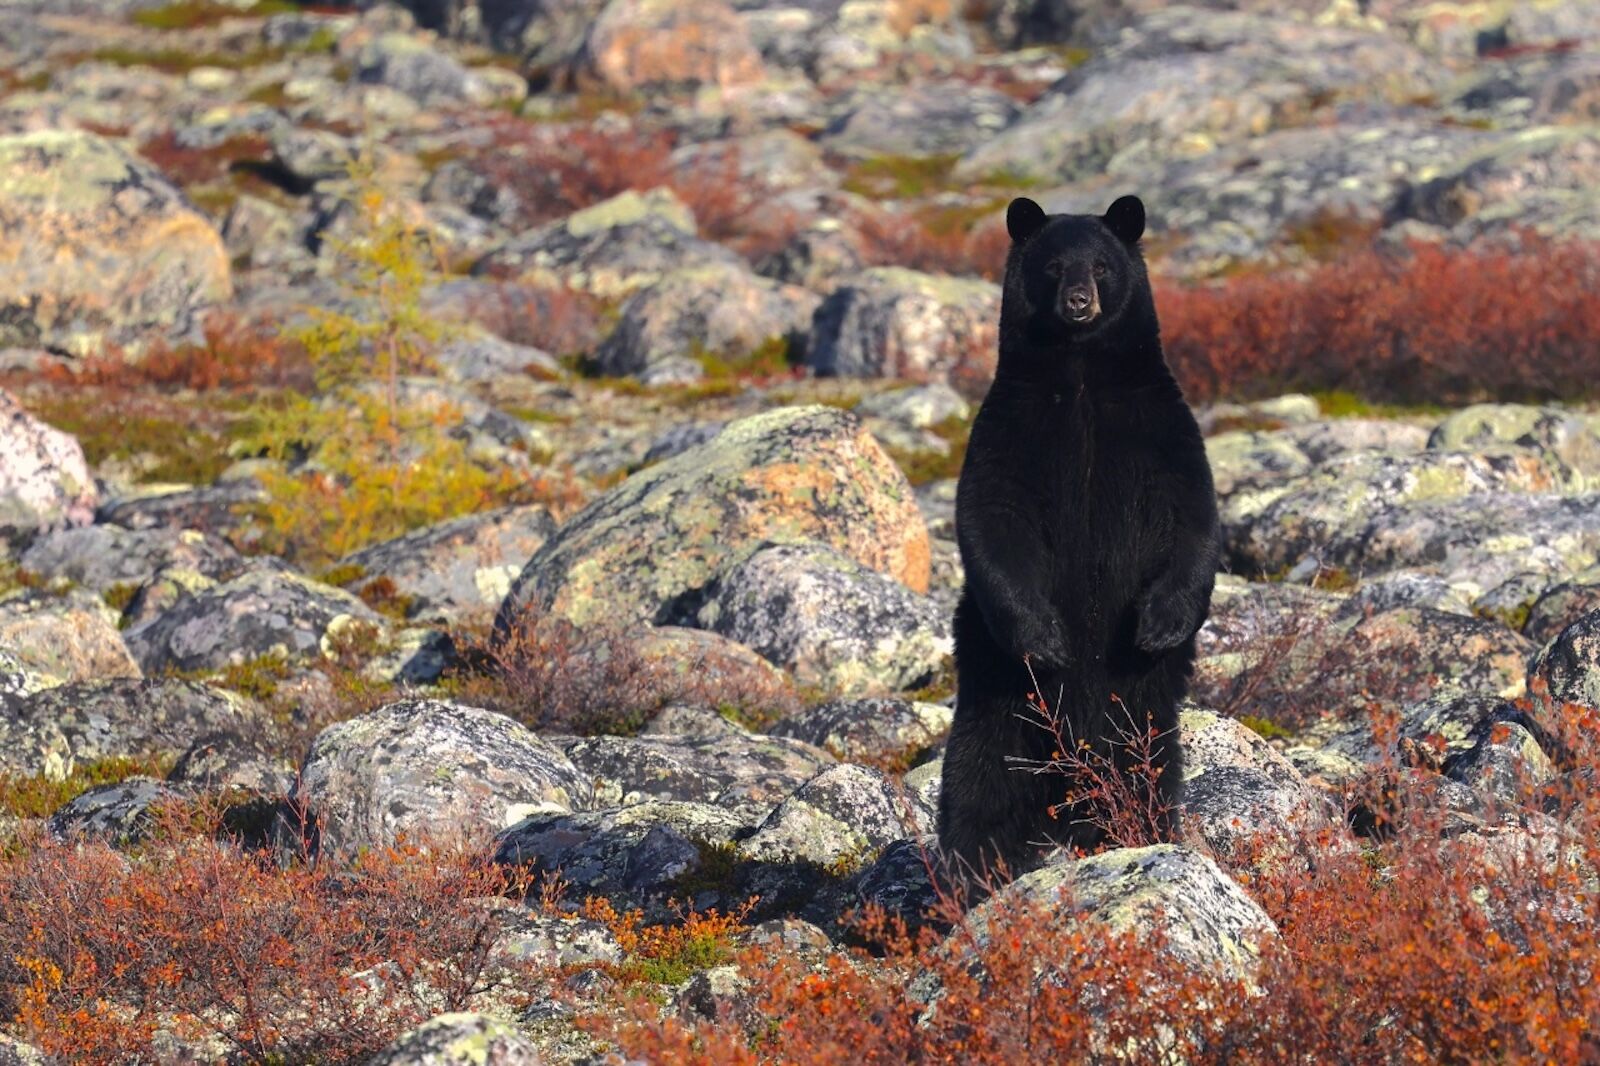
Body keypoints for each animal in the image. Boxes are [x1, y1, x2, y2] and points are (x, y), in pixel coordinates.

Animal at [934, 192, 1216, 877]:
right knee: (979, 783)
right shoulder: (1009, 430)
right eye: (1055, 267)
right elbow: (990, 517)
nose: (1079, 301)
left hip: (1142, 710)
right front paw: (1046, 640)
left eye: (1103, 266)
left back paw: (1139, 834)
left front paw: (1161, 621)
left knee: (1147, 774)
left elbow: (1194, 514)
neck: (1083, 375)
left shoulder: (1161, 428)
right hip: (997, 693)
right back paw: (969, 877)